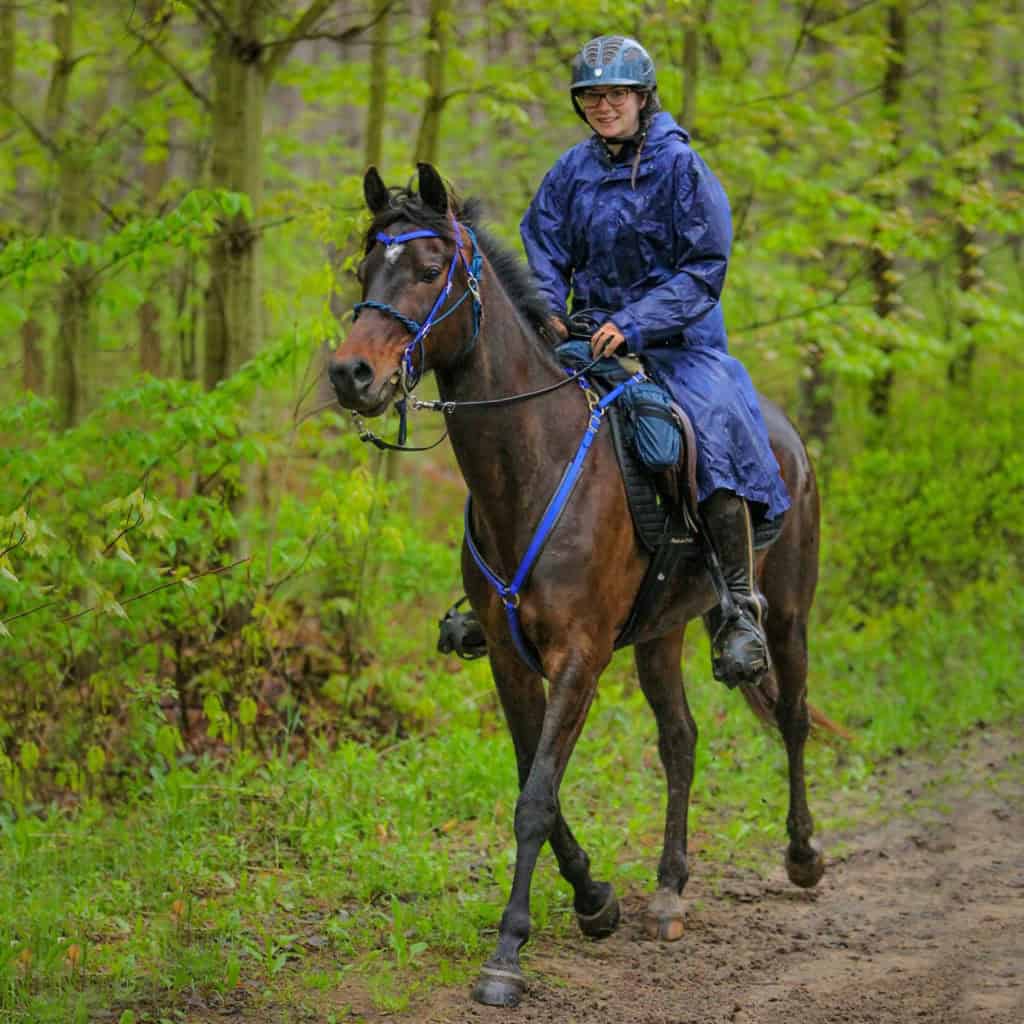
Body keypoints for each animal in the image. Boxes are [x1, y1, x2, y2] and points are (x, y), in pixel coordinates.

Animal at [328, 163, 826, 1008]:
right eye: (365, 270)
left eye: (429, 270)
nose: (351, 373)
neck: (531, 466)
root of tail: (788, 434)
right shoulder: (509, 657)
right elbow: (538, 779)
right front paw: (595, 900)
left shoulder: (580, 657)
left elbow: (535, 799)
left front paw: (506, 956)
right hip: (661, 633)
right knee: (680, 741)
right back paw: (668, 891)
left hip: (789, 614)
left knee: (790, 718)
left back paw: (802, 856)